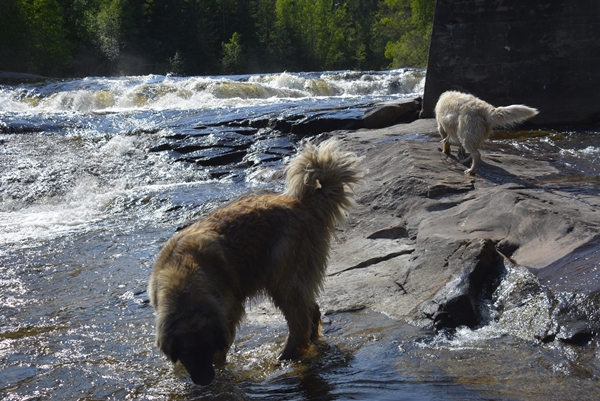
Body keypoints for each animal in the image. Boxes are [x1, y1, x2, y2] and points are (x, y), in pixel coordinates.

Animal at [148, 138, 360, 384]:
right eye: (187, 352)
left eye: (207, 348)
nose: (206, 381)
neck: (183, 276)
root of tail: (302, 203)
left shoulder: (229, 309)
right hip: (297, 279)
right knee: (312, 311)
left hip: (283, 278)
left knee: (299, 322)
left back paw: (286, 356)